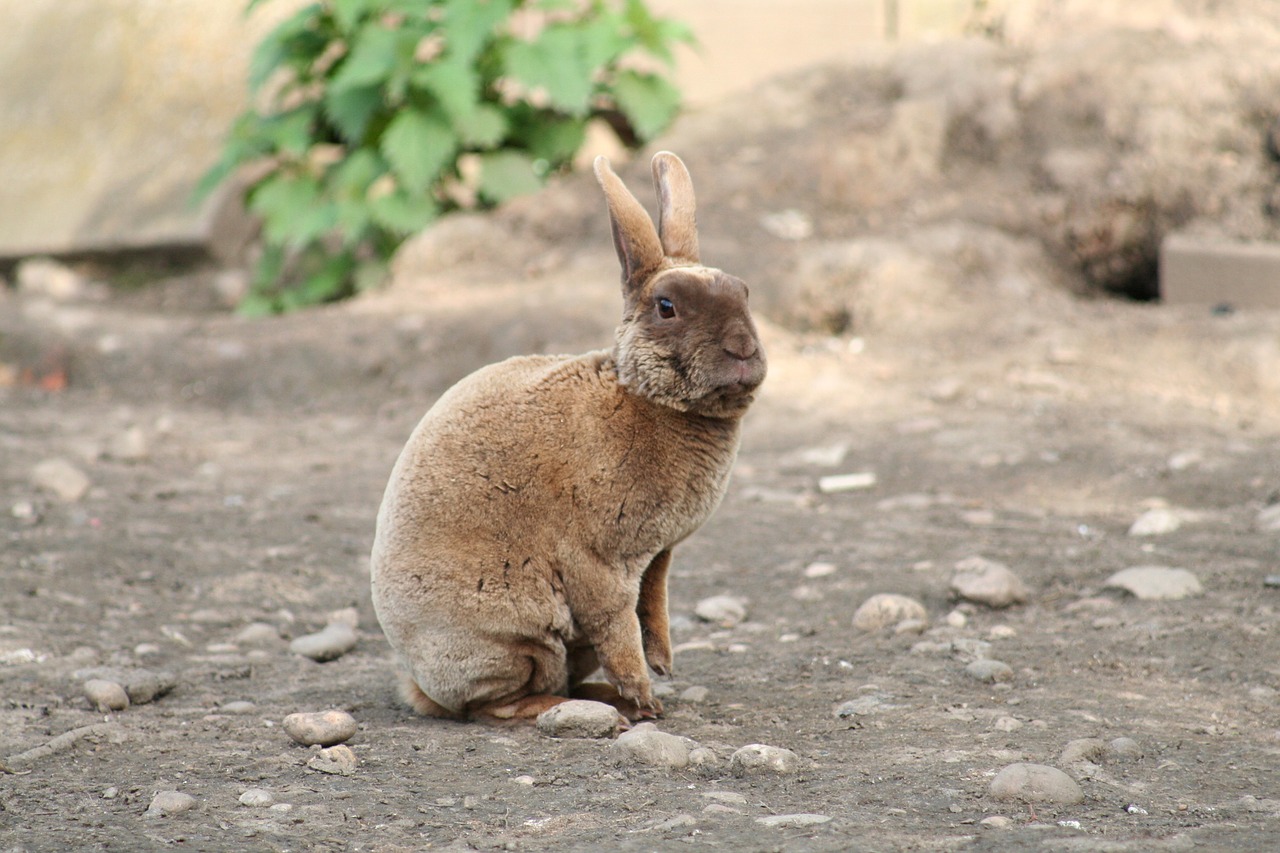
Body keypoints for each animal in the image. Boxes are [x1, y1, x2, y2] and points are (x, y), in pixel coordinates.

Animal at [373, 151, 768, 717]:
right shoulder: (596, 560)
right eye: (666, 306)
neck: (646, 397)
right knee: (497, 702)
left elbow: (653, 607)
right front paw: (647, 697)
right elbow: (617, 623)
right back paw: (586, 708)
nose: (743, 348)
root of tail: (421, 686)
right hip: (518, 638)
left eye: (744, 293)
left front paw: (663, 667)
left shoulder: (658, 558)